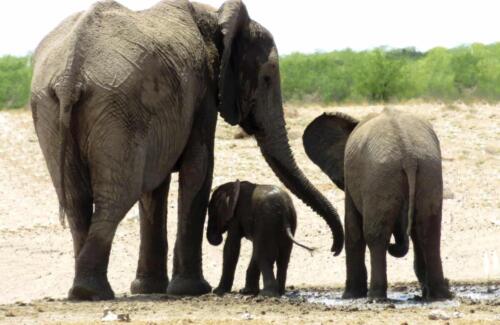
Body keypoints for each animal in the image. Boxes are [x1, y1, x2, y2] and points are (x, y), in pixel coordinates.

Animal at [30, 0, 344, 302]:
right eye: (267, 78)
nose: (332, 250)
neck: (213, 16)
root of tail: (71, 72)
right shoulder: (202, 91)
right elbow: (199, 167)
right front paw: (191, 290)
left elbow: (155, 187)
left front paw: (150, 288)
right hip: (115, 109)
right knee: (117, 196)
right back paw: (92, 292)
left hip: (57, 110)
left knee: (76, 199)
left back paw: (83, 291)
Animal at [302, 108, 452, 298]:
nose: (332, 251)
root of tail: (409, 156)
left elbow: (353, 229)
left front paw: (350, 296)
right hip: (427, 172)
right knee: (429, 233)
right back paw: (440, 295)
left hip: (380, 177)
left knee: (376, 235)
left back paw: (375, 296)